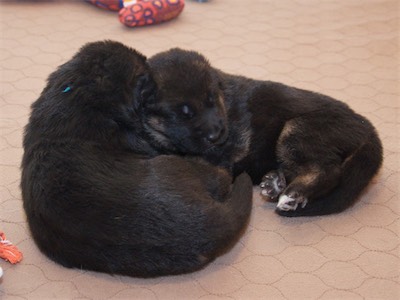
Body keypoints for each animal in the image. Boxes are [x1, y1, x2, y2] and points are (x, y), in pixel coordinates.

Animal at [146, 49, 382, 218]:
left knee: (328, 171)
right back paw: (275, 184)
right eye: (181, 114)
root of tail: (367, 128)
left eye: (212, 101)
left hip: (298, 130)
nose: (217, 135)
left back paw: (292, 195)